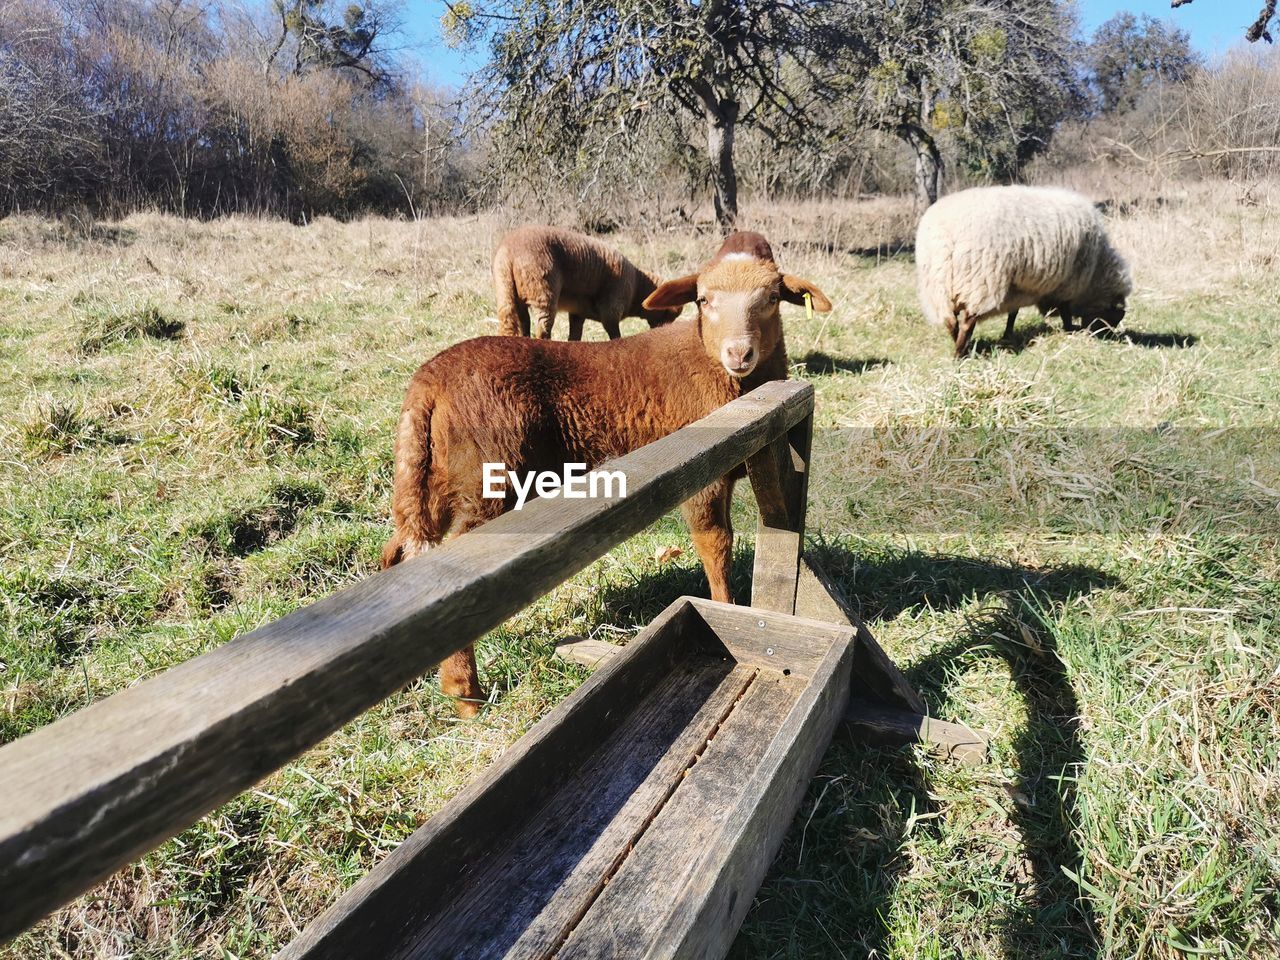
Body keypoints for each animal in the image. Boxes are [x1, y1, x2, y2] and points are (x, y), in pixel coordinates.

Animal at [486, 226, 680, 343]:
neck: (638, 287)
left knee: (521, 324)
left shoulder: (578, 313)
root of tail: (508, 253)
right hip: (543, 291)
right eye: (669, 314)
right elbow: (614, 334)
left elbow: (575, 335)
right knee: (542, 328)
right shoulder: (611, 309)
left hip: (508, 292)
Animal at [916, 185, 1136, 358]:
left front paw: (1008, 335)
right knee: (967, 321)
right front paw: (1069, 331)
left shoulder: (1018, 287)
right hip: (981, 280)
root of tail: (944, 233)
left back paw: (962, 347)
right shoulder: (1067, 283)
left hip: (938, 287)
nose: (1105, 338)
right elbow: (1064, 311)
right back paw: (961, 353)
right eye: (1112, 317)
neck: (1096, 271)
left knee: (950, 321)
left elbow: (1013, 313)